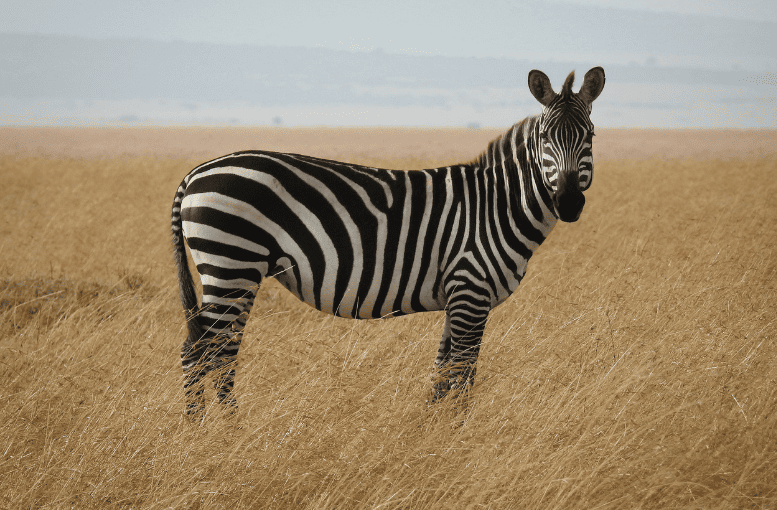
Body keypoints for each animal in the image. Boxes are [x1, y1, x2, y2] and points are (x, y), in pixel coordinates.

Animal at [171, 67, 605, 417]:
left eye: (590, 136)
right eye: (545, 137)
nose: (569, 202)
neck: (497, 206)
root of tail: (195, 172)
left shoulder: (457, 297)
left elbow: (441, 374)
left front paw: (431, 432)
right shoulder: (470, 290)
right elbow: (463, 375)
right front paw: (459, 436)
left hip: (236, 272)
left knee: (209, 352)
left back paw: (208, 431)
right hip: (232, 264)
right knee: (207, 354)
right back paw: (219, 435)